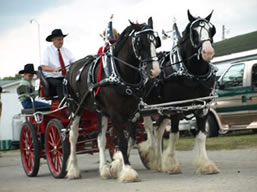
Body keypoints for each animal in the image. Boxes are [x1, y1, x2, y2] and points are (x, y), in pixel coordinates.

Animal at [65, 17, 159, 182]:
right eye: (140, 43)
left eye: (156, 42)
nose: (155, 71)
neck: (120, 74)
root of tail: (72, 66)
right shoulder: (115, 115)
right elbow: (122, 142)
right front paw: (128, 171)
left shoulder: (133, 114)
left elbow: (130, 140)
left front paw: (116, 164)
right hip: (75, 108)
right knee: (73, 137)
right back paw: (73, 170)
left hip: (100, 111)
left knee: (100, 139)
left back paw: (104, 169)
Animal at [137, 10, 219, 174]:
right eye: (193, 31)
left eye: (211, 29)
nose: (207, 52)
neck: (192, 74)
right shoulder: (176, 109)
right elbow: (174, 135)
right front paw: (171, 164)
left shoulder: (203, 108)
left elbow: (201, 136)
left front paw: (205, 164)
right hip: (146, 109)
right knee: (149, 130)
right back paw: (151, 156)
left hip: (162, 110)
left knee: (158, 130)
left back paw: (158, 162)